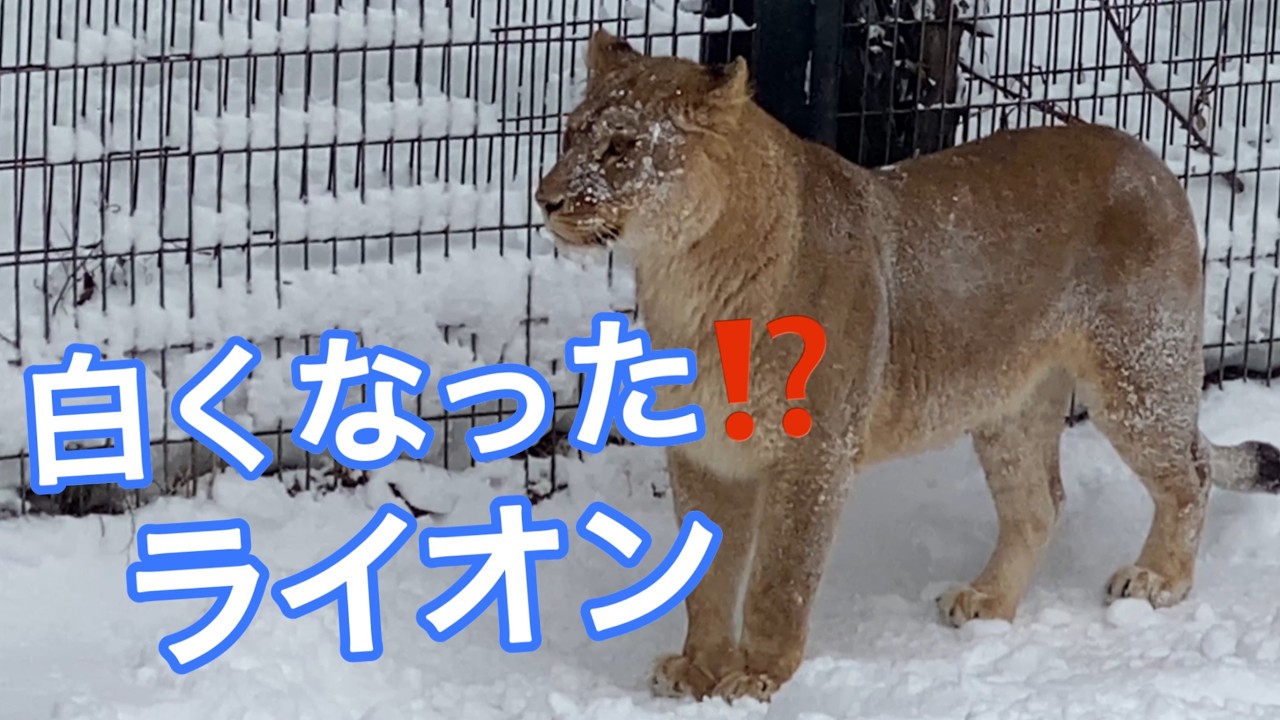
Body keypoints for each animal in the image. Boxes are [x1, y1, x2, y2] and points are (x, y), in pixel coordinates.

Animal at [535, 29, 1280, 702]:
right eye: (570, 134)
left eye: (622, 147)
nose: (546, 199)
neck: (686, 279)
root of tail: (1147, 156)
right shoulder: (705, 450)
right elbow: (708, 579)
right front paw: (697, 670)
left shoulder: (815, 451)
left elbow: (781, 578)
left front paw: (758, 678)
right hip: (1011, 408)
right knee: (1040, 504)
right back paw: (987, 602)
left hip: (1138, 371)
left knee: (1191, 473)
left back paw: (1158, 581)